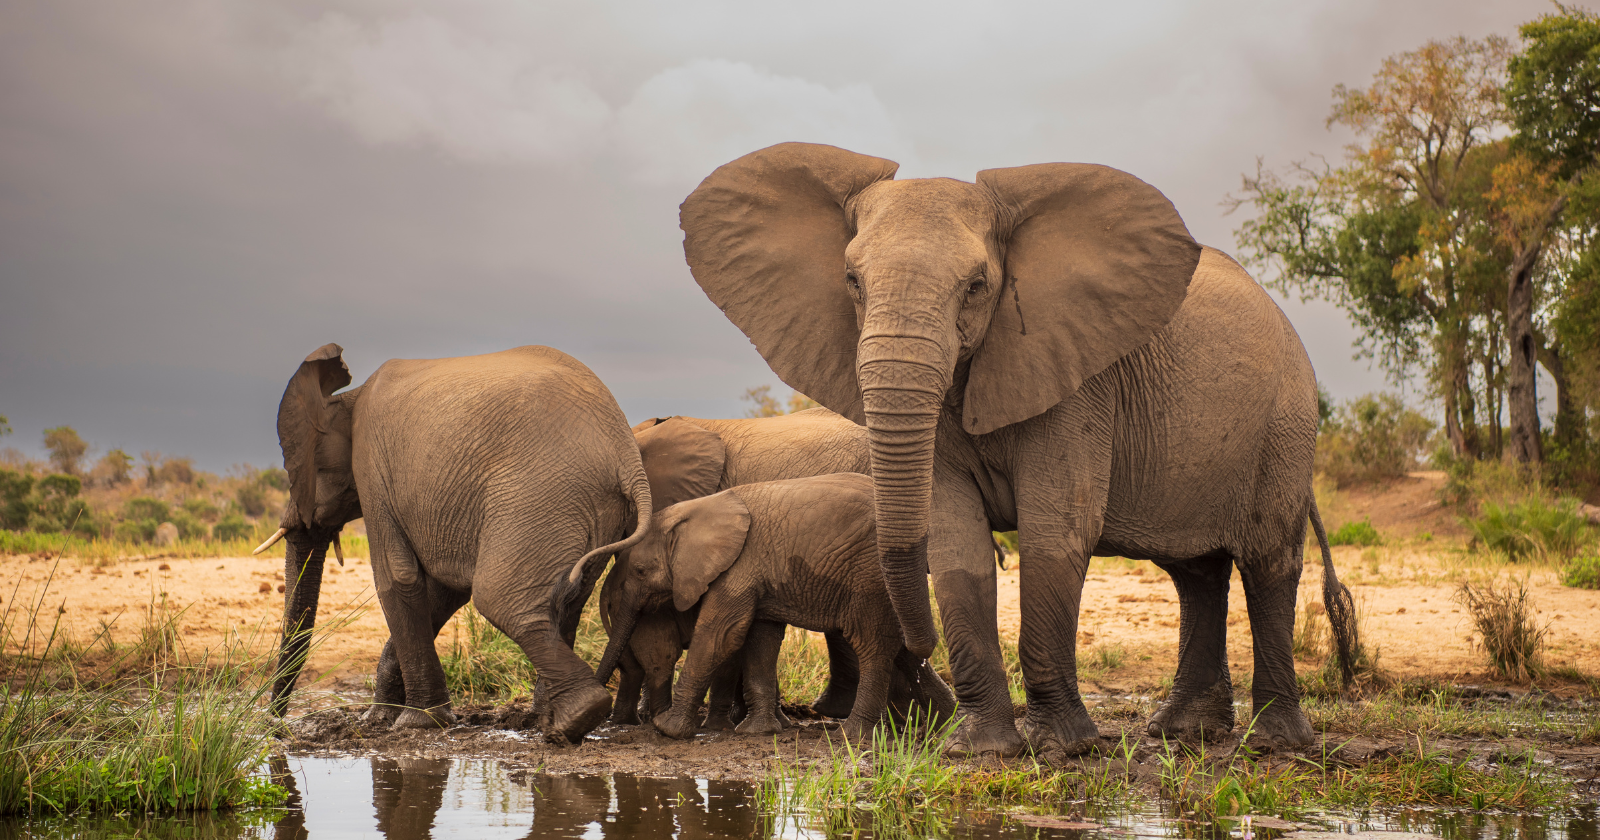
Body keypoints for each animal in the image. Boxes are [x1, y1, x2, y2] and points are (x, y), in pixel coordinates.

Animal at [257, 343, 649, 742]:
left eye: (298, 470)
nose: (274, 726)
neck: (346, 397)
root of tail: (626, 456)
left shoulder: (372, 471)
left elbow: (396, 579)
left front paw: (416, 722)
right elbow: (443, 590)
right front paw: (380, 718)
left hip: (539, 494)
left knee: (500, 599)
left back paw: (575, 718)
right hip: (590, 507)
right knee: (569, 598)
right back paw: (546, 721)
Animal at [592, 472, 948, 741]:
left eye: (640, 571)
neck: (695, 511)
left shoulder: (738, 566)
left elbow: (720, 635)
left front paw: (667, 729)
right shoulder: (756, 573)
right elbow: (760, 638)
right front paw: (758, 732)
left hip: (870, 576)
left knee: (872, 644)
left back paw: (853, 736)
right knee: (902, 647)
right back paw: (945, 725)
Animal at [678, 142, 1359, 759]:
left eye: (977, 286)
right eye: (851, 282)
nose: (917, 656)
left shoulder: (1079, 382)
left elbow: (1056, 531)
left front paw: (1062, 749)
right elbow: (956, 540)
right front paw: (978, 750)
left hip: (1285, 424)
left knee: (1267, 563)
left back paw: (1274, 743)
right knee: (1197, 573)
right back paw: (1181, 733)